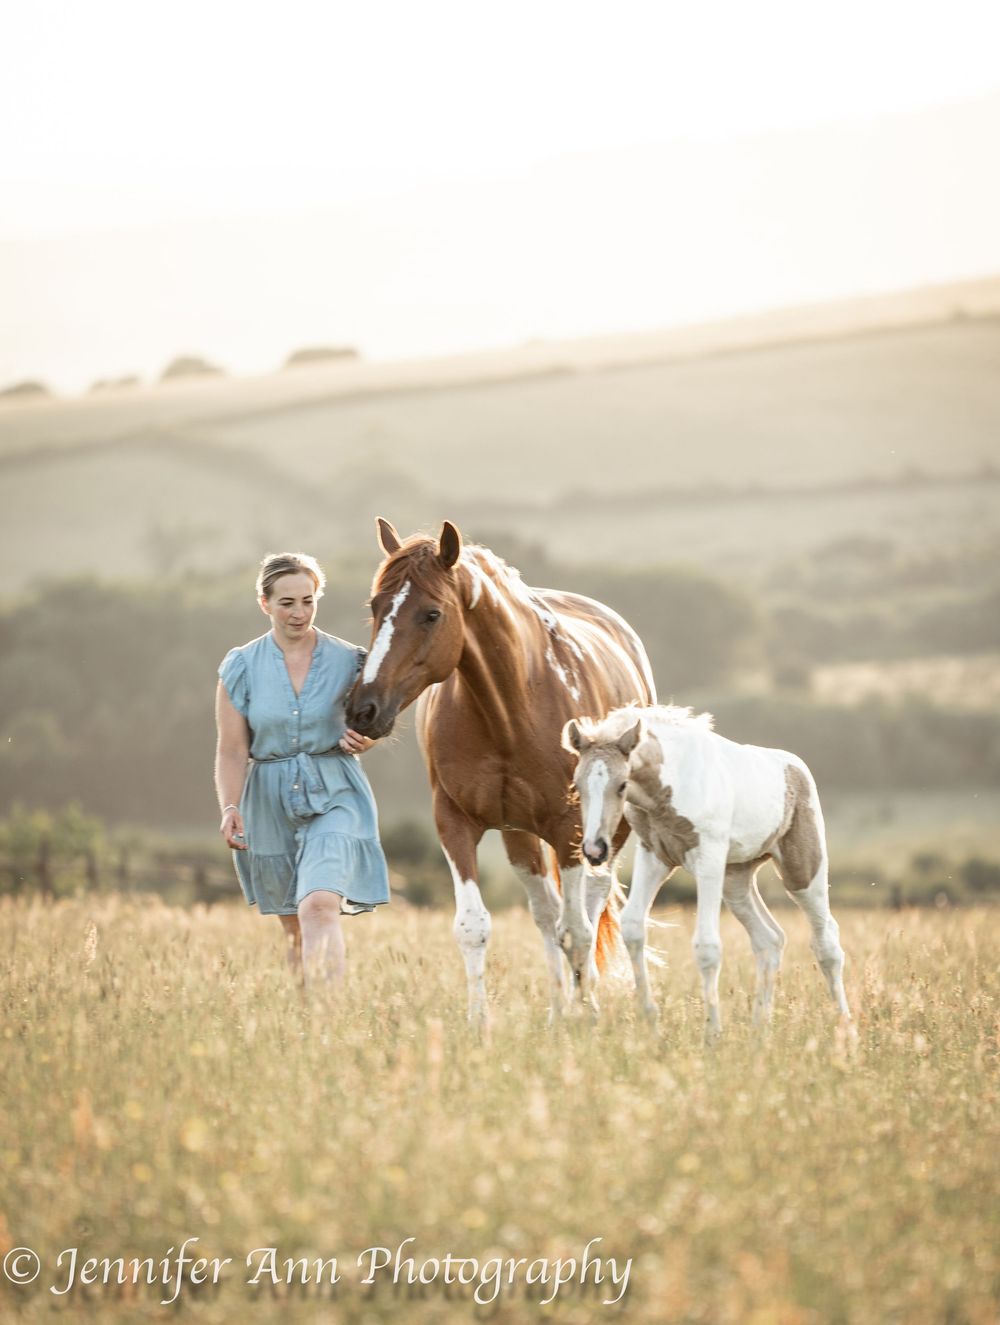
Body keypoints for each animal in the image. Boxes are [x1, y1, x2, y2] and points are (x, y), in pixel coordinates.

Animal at [345, 519, 658, 1022]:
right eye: (376, 606)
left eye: (431, 614)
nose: (362, 710)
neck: (511, 708)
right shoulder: (455, 822)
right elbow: (473, 926)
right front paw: (479, 1023)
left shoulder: (572, 829)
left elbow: (579, 930)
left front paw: (587, 1015)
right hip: (520, 837)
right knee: (547, 913)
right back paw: (557, 1012)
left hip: (605, 836)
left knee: (589, 907)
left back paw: (583, 1002)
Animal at [562, 705, 851, 1036]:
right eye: (577, 786)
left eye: (622, 785)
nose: (594, 851)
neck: (672, 782)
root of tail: (796, 766)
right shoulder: (654, 856)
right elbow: (633, 927)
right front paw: (651, 1020)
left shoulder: (708, 859)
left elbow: (707, 945)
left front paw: (712, 1033)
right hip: (736, 881)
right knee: (770, 939)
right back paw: (759, 1031)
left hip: (802, 872)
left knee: (827, 942)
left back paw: (846, 1029)